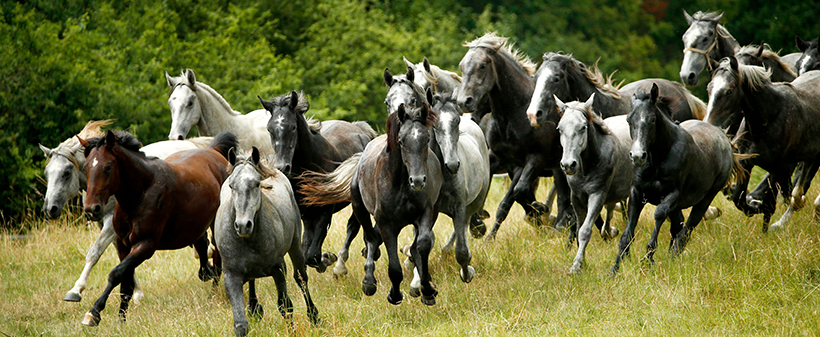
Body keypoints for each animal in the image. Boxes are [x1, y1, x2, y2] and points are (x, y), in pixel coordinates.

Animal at [40, 120, 213, 302]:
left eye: (66, 173)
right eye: (46, 173)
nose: (50, 209)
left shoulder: (110, 225)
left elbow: (94, 252)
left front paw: (76, 290)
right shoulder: (111, 229)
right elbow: (123, 257)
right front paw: (136, 293)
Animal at [77, 129, 237, 326]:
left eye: (107, 167)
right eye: (86, 167)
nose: (92, 209)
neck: (142, 193)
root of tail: (213, 150)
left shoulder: (145, 245)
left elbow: (116, 274)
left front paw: (94, 313)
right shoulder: (123, 245)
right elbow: (126, 285)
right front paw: (121, 320)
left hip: (215, 225)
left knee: (217, 258)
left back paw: (213, 295)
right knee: (203, 248)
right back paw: (206, 272)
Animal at [258, 90, 376, 272]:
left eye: (293, 127)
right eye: (270, 129)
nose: (282, 167)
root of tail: (360, 129)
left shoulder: (324, 213)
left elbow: (312, 254)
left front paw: (327, 259)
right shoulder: (306, 214)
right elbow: (307, 249)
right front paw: (325, 258)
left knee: (353, 226)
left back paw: (342, 264)